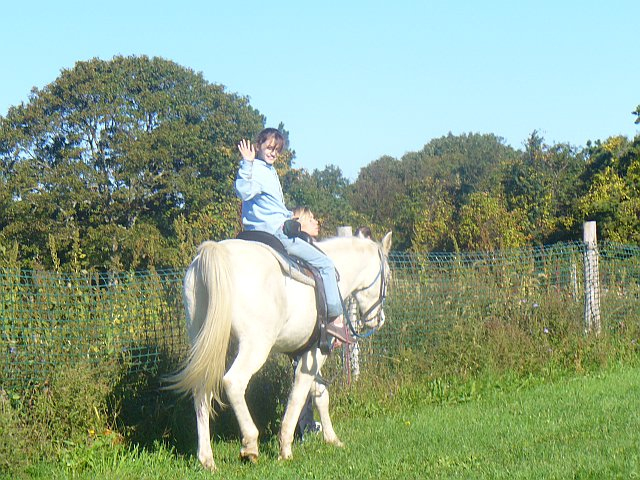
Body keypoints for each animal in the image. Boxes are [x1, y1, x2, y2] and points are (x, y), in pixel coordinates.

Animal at [168, 232, 392, 472]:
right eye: (387, 276)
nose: (379, 320)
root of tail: (217, 252)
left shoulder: (303, 354)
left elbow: (320, 395)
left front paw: (332, 439)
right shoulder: (316, 353)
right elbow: (298, 397)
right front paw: (285, 449)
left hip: (205, 345)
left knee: (202, 391)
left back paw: (207, 459)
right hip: (255, 346)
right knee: (233, 382)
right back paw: (250, 445)